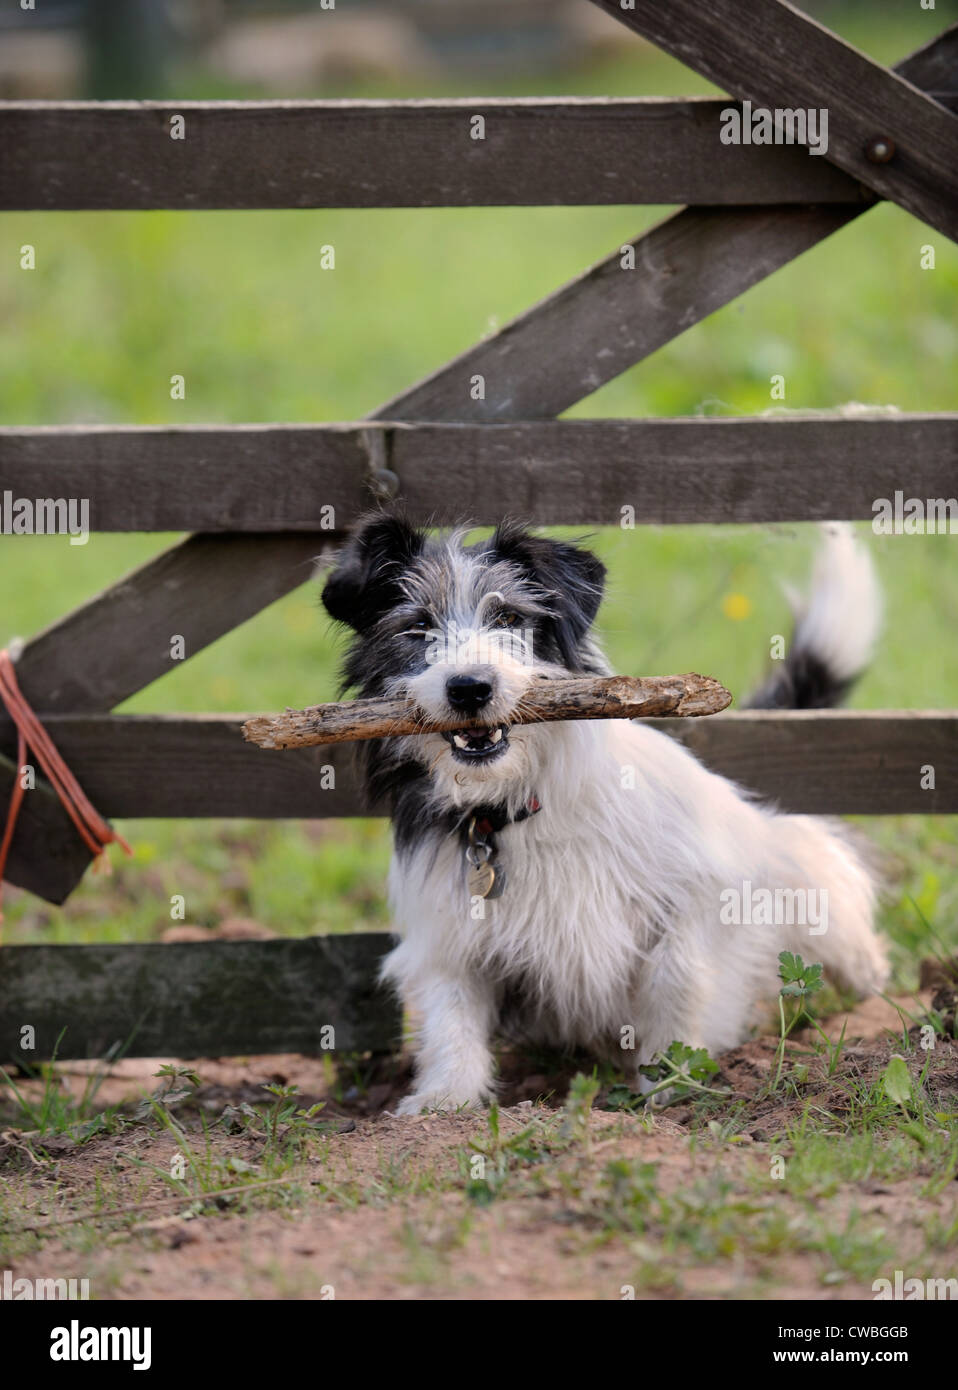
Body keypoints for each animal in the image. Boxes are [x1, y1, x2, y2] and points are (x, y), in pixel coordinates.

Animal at [322, 517, 889, 1112]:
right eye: (417, 626)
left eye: (509, 618)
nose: (469, 687)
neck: (520, 804)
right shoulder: (447, 933)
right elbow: (450, 1015)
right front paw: (443, 1101)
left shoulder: (702, 892)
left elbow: (675, 978)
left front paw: (669, 1082)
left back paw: (870, 985)